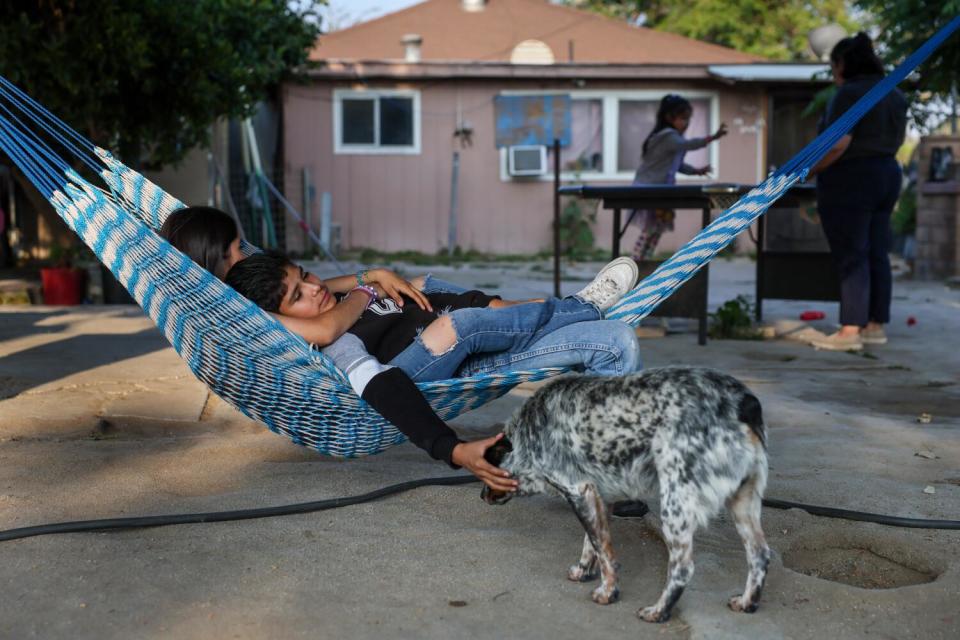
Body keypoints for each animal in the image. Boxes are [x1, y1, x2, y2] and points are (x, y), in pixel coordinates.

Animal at [484, 368, 768, 624]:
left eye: (488, 475)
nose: (481, 496)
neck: (528, 430)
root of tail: (744, 403)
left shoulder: (577, 490)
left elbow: (604, 552)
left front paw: (608, 593)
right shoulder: (595, 496)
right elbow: (593, 542)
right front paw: (584, 571)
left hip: (674, 506)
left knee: (683, 569)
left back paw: (658, 612)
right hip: (743, 503)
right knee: (760, 555)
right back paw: (747, 603)